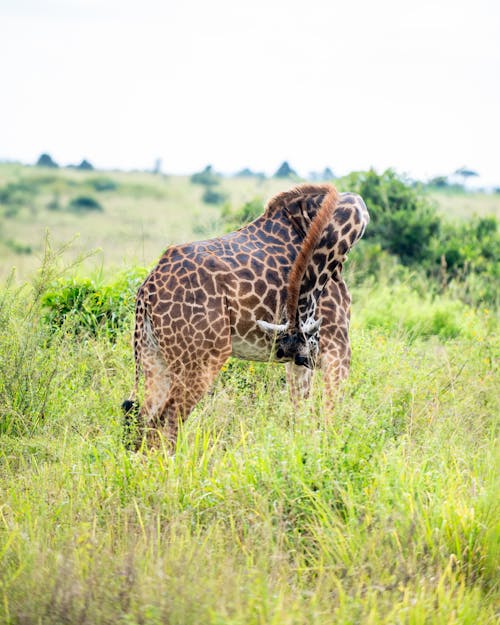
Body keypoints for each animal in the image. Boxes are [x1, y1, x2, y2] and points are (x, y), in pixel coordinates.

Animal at [123, 183, 370, 446]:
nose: (309, 358)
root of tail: (147, 290)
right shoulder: (337, 343)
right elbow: (333, 414)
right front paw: (333, 448)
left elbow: (301, 415)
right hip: (204, 356)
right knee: (168, 418)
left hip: (153, 354)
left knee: (145, 418)